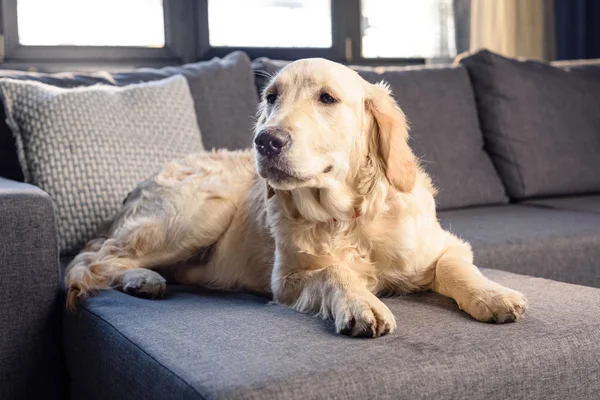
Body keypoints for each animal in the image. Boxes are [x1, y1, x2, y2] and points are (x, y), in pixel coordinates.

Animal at [63, 57, 528, 336]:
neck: (348, 219)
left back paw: (145, 280)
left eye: (327, 98)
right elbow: (332, 271)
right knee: (91, 261)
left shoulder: (444, 245)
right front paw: (362, 303)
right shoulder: (284, 282)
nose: (265, 141)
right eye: (272, 98)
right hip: (203, 211)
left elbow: (456, 267)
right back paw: (137, 278)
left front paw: (493, 295)